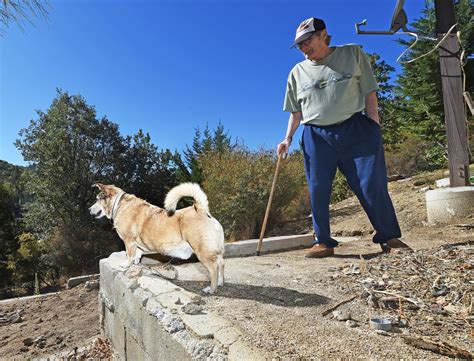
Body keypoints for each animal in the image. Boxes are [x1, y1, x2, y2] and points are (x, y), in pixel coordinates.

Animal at [91, 183, 227, 292]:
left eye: (97, 199)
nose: (89, 209)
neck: (118, 204)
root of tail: (200, 209)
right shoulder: (136, 245)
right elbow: (137, 254)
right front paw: (136, 263)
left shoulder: (128, 241)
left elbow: (129, 254)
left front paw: (126, 264)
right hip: (218, 251)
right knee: (221, 264)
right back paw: (220, 283)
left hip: (203, 252)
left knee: (214, 268)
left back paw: (211, 289)